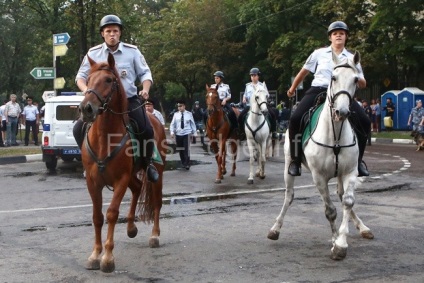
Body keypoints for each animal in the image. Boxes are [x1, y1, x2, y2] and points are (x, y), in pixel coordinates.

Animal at [78, 52, 166, 272]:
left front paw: (108, 258)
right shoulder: (93, 182)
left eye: (109, 80)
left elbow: (111, 213)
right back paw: (131, 227)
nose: (86, 108)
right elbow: (97, 216)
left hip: (158, 172)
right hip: (132, 175)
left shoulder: (120, 180)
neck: (105, 138)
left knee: (157, 202)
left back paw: (154, 235)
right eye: (88, 79)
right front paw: (95, 254)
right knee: (137, 188)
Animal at [268, 52, 374, 260]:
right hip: (288, 167)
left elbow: (348, 202)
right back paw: (275, 228)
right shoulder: (319, 177)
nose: (342, 112)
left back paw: (362, 227)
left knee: (341, 195)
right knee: (289, 196)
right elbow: (330, 211)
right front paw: (335, 242)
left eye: (355, 79)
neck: (335, 136)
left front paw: (341, 241)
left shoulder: (350, 172)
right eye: (333, 77)